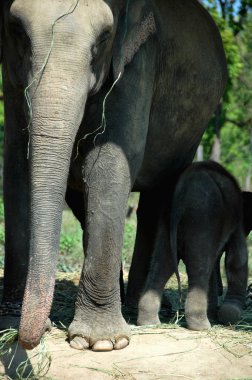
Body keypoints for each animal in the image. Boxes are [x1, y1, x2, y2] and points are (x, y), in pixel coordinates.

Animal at [0, 0, 226, 350]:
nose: (30, 340)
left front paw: (101, 343)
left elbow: (110, 161)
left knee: (157, 200)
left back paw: (137, 308)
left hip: (190, 135)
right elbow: (15, 162)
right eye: (17, 30)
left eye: (104, 38)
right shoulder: (11, 77)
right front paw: (9, 325)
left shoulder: (138, 60)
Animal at [138, 160, 248, 330]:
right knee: (199, 268)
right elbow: (237, 259)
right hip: (201, 218)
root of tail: (182, 189)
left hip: (167, 220)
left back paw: (149, 323)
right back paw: (202, 326)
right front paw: (229, 315)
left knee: (162, 264)